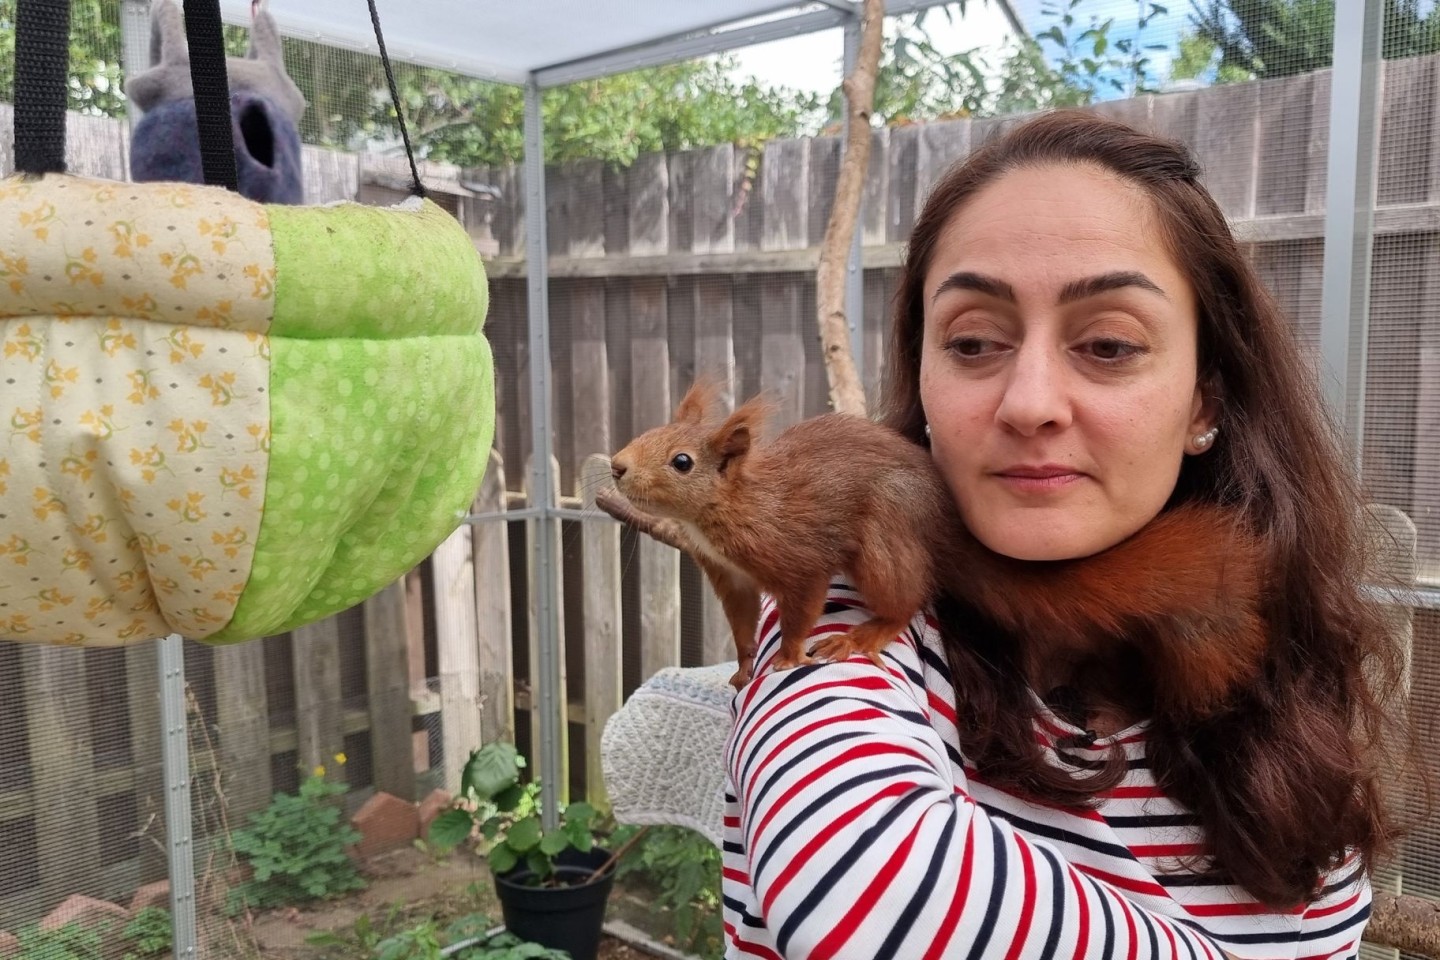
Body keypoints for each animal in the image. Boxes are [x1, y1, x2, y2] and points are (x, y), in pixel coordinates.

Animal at [613, 379, 1267, 711]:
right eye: (647, 431)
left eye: (681, 461)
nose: (616, 466)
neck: (729, 509)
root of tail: (944, 528)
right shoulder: (730, 574)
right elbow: (744, 621)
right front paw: (746, 665)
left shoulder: (793, 554)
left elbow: (800, 603)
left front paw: (788, 655)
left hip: (885, 540)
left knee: (907, 597)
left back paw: (863, 633)